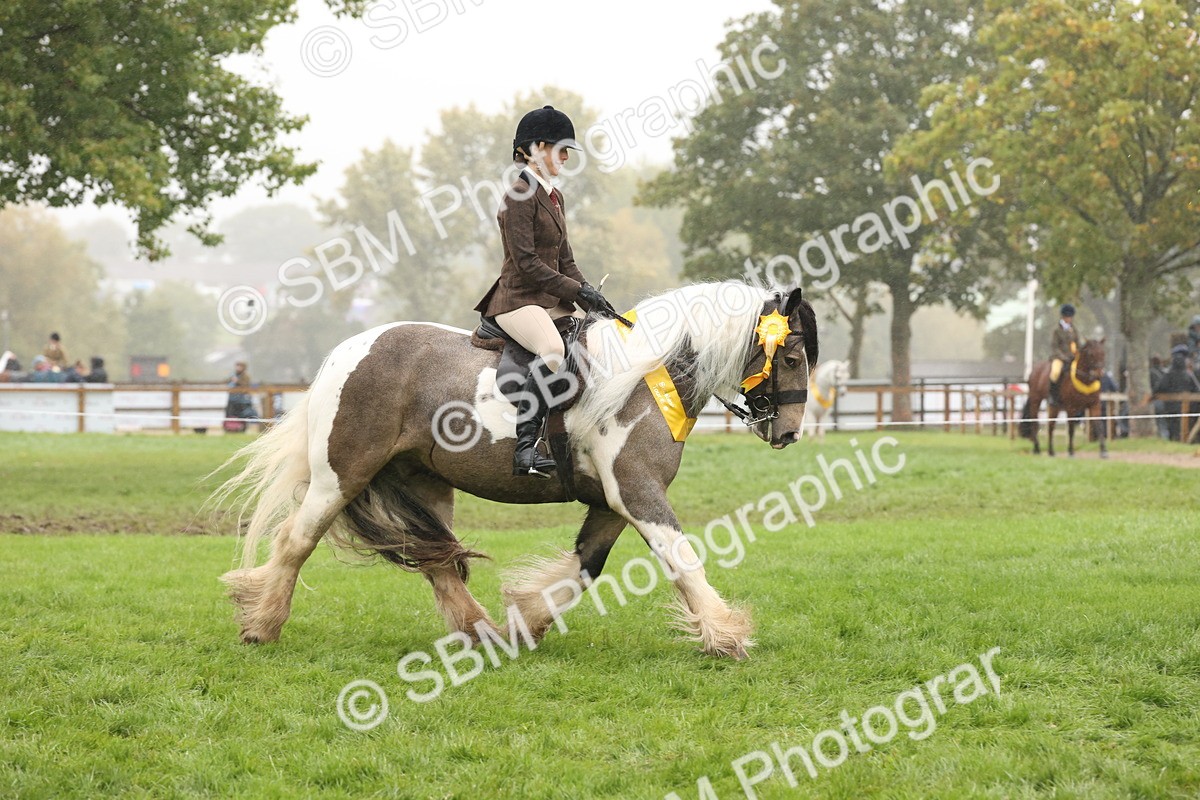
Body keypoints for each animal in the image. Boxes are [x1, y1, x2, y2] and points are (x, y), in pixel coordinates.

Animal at [212, 282, 818, 660]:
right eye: (791, 358)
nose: (788, 432)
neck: (648, 378)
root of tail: (346, 353)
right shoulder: (638, 492)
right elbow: (681, 559)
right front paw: (726, 636)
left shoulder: (612, 500)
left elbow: (585, 566)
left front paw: (526, 619)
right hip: (342, 473)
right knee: (296, 541)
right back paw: (261, 625)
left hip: (422, 481)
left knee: (437, 560)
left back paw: (484, 633)